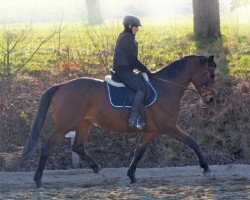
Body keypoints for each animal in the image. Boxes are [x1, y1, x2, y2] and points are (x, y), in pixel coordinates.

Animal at [22, 54, 217, 188]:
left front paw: (131, 175)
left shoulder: (150, 130)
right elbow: (193, 142)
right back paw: (38, 181)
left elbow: (139, 152)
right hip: (64, 125)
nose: (211, 99)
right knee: (48, 147)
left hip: (84, 123)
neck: (166, 87)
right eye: (211, 75)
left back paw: (97, 168)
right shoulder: (168, 127)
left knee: (77, 146)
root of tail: (62, 85)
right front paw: (206, 168)